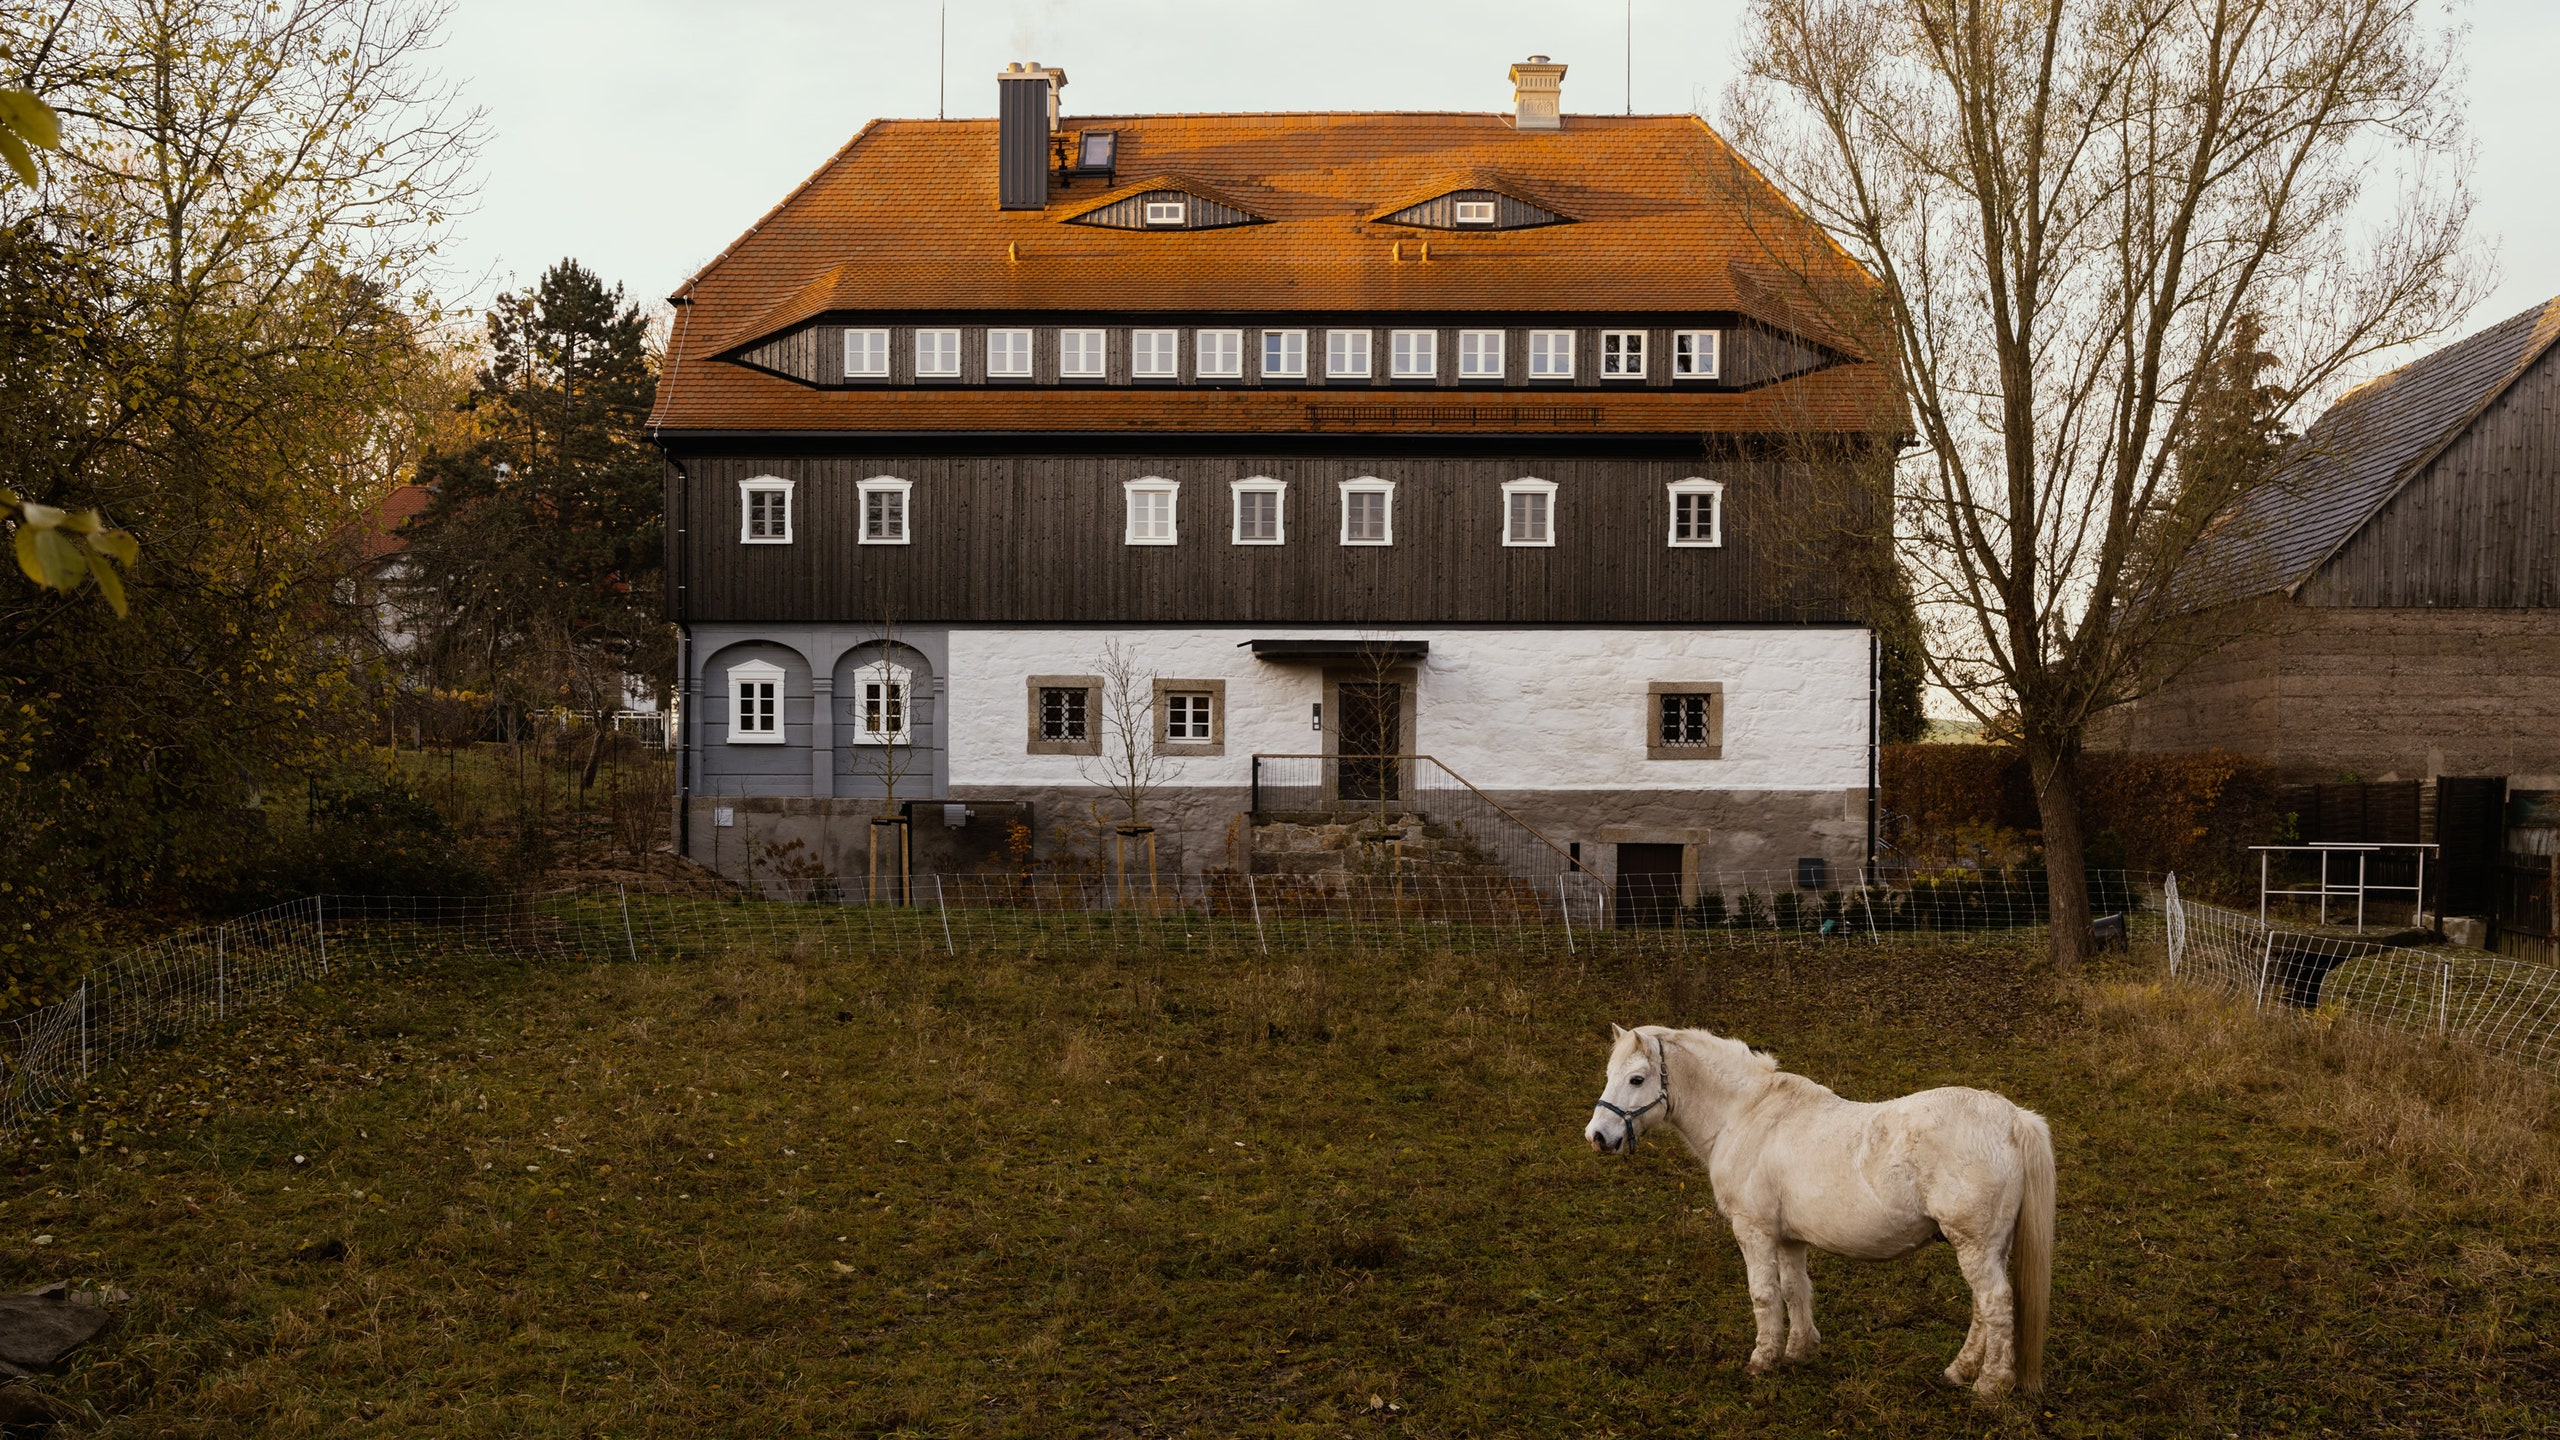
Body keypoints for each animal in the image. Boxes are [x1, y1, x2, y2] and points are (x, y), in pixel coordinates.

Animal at [1576, 1019, 2058, 1393]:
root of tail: (2012, 1119)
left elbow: (1764, 1294)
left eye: (1637, 1079)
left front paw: (1762, 1359)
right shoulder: (1789, 1239)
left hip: (1974, 1245)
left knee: (1996, 1304)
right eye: (1610, 1072)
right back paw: (1959, 1371)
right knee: (1982, 1309)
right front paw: (1798, 1351)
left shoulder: (1753, 1232)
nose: (1597, 1137)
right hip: (1986, 1248)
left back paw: (1989, 1385)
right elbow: (1794, 1290)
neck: (1746, 1116)